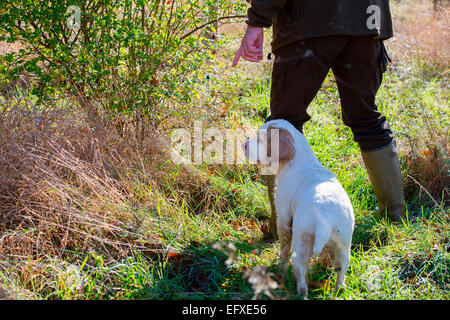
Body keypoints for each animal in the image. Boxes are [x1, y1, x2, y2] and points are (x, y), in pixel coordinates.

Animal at [243, 119, 356, 296]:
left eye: (261, 139)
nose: (244, 145)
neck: (295, 161)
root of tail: (325, 220)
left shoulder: (283, 216)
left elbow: (284, 247)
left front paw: (280, 267)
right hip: (343, 247)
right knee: (341, 274)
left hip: (301, 245)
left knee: (301, 279)